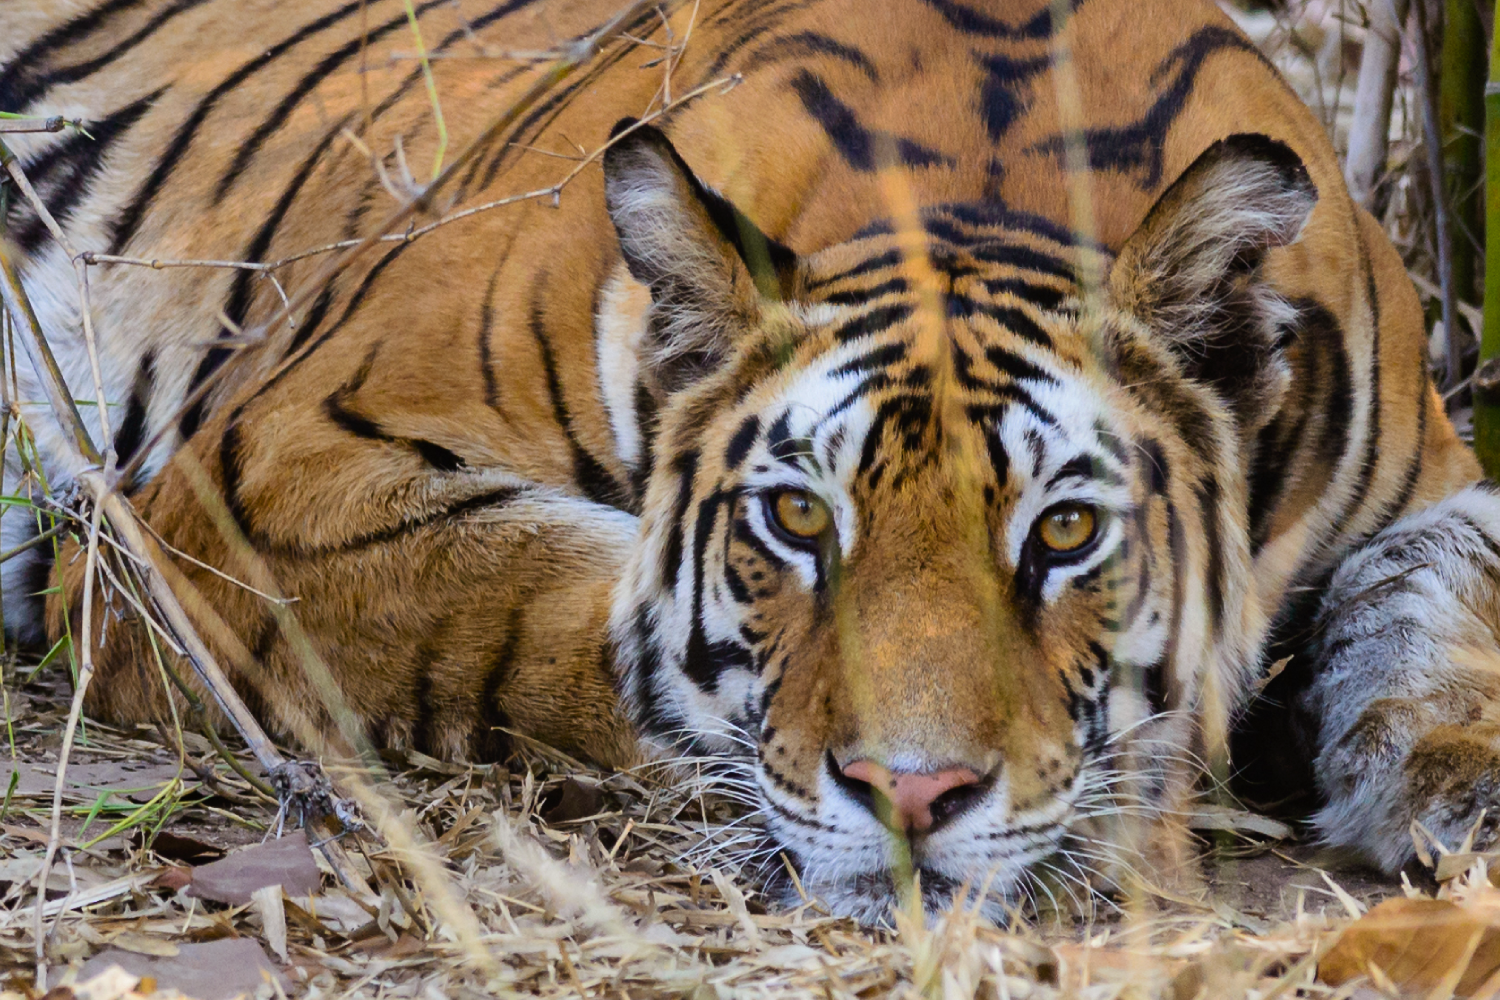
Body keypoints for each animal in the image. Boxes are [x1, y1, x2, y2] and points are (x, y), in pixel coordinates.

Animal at [6, 0, 1500, 923]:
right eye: (794, 520)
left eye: (1066, 533)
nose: (914, 802)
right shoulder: (243, 485)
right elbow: (556, 608)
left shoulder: (1429, 473)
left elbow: (1445, 586)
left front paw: (1459, 773)